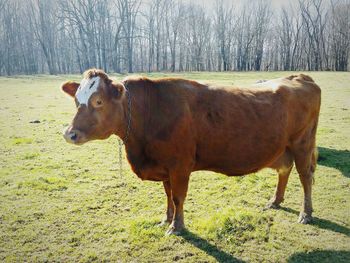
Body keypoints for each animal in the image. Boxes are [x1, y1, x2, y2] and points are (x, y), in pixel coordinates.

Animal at [61, 69, 322, 236]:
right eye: (76, 100)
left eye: (98, 101)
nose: (69, 134)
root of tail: (299, 76)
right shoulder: (164, 166)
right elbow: (167, 195)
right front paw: (166, 218)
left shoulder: (179, 166)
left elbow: (178, 197)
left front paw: (176, 227)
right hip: (283, 148)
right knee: (284, 170)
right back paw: (275, 201)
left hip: (302, 144)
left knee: (305, 177)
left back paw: (306, 213)